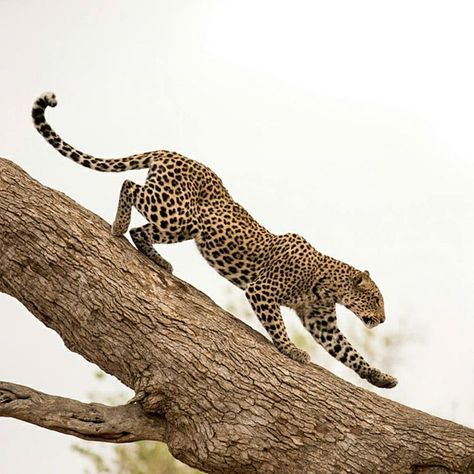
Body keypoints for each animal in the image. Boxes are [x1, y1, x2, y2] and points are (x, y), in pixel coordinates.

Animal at [31, 91, 398, 388]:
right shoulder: (262, 291)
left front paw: (381, 378)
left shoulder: (320, 321)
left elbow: (350, 352)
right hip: (175, 213)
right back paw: (119, 226)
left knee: (141, 228)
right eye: (376, 299)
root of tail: (169, 152)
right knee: (129, 189)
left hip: (183, 226)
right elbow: (279, 327)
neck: (326, 285)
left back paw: (159, 260)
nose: (381, 320)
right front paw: (293, 351)